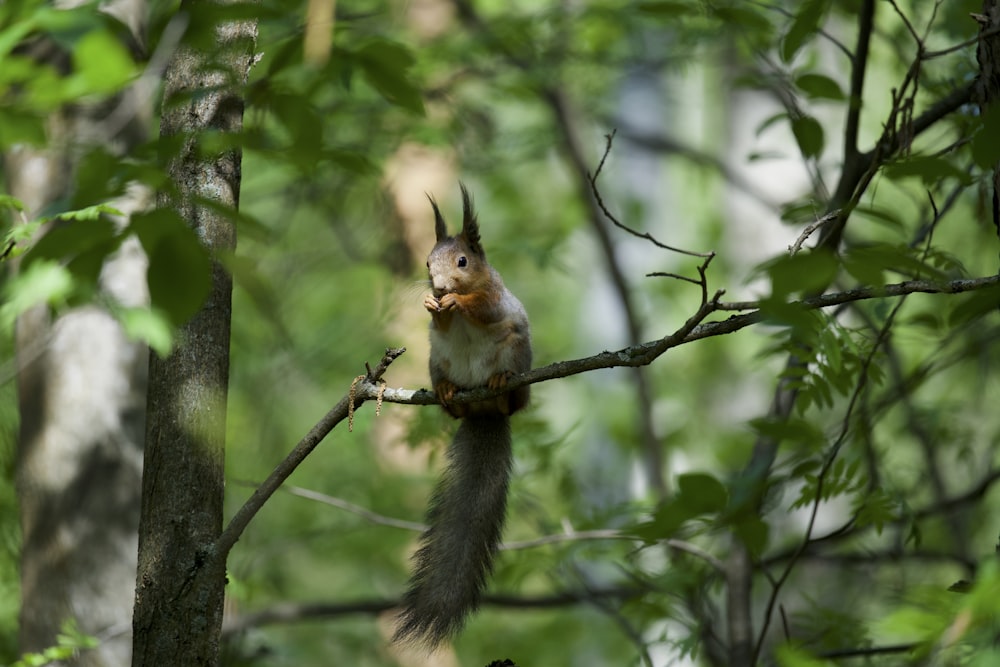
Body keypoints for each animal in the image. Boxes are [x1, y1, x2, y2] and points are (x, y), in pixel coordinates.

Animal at [392, 183, 532, 648]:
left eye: (463, 262)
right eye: (426, 262)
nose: (437, 286)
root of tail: (484, 412)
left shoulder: (494, 297)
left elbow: (481, 307)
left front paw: (456, 299)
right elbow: (443, 325)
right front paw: (430, 303)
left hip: (515, 353)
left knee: (512, 395)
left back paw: (502, 387)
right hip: (437, 362)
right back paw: (449, 395)